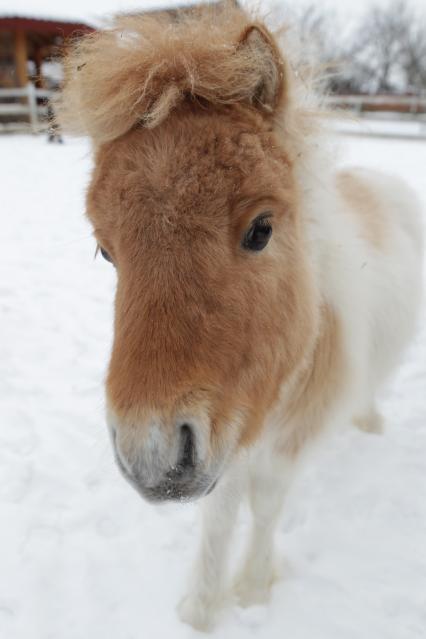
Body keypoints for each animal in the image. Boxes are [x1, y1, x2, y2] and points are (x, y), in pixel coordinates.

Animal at [58, 5, 424, 632]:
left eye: (261, 229)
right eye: (105, 250)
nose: (151, 456)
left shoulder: (284, 444)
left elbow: (267, 507)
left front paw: (253, 591)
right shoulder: (225, 435)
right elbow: (221, 514)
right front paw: (202, 607)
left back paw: (368, 423)